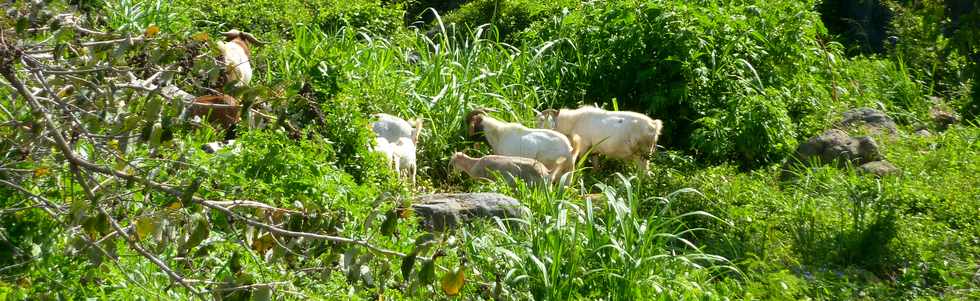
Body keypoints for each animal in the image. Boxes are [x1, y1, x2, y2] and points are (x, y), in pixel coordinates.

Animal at [536, 105, 668, 171]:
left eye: (542, 120)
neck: (573, 121)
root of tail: (654, 125)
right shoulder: (594, 150)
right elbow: (596, 166)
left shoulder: (584, 146)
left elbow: (581, 163)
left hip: (642, 155)